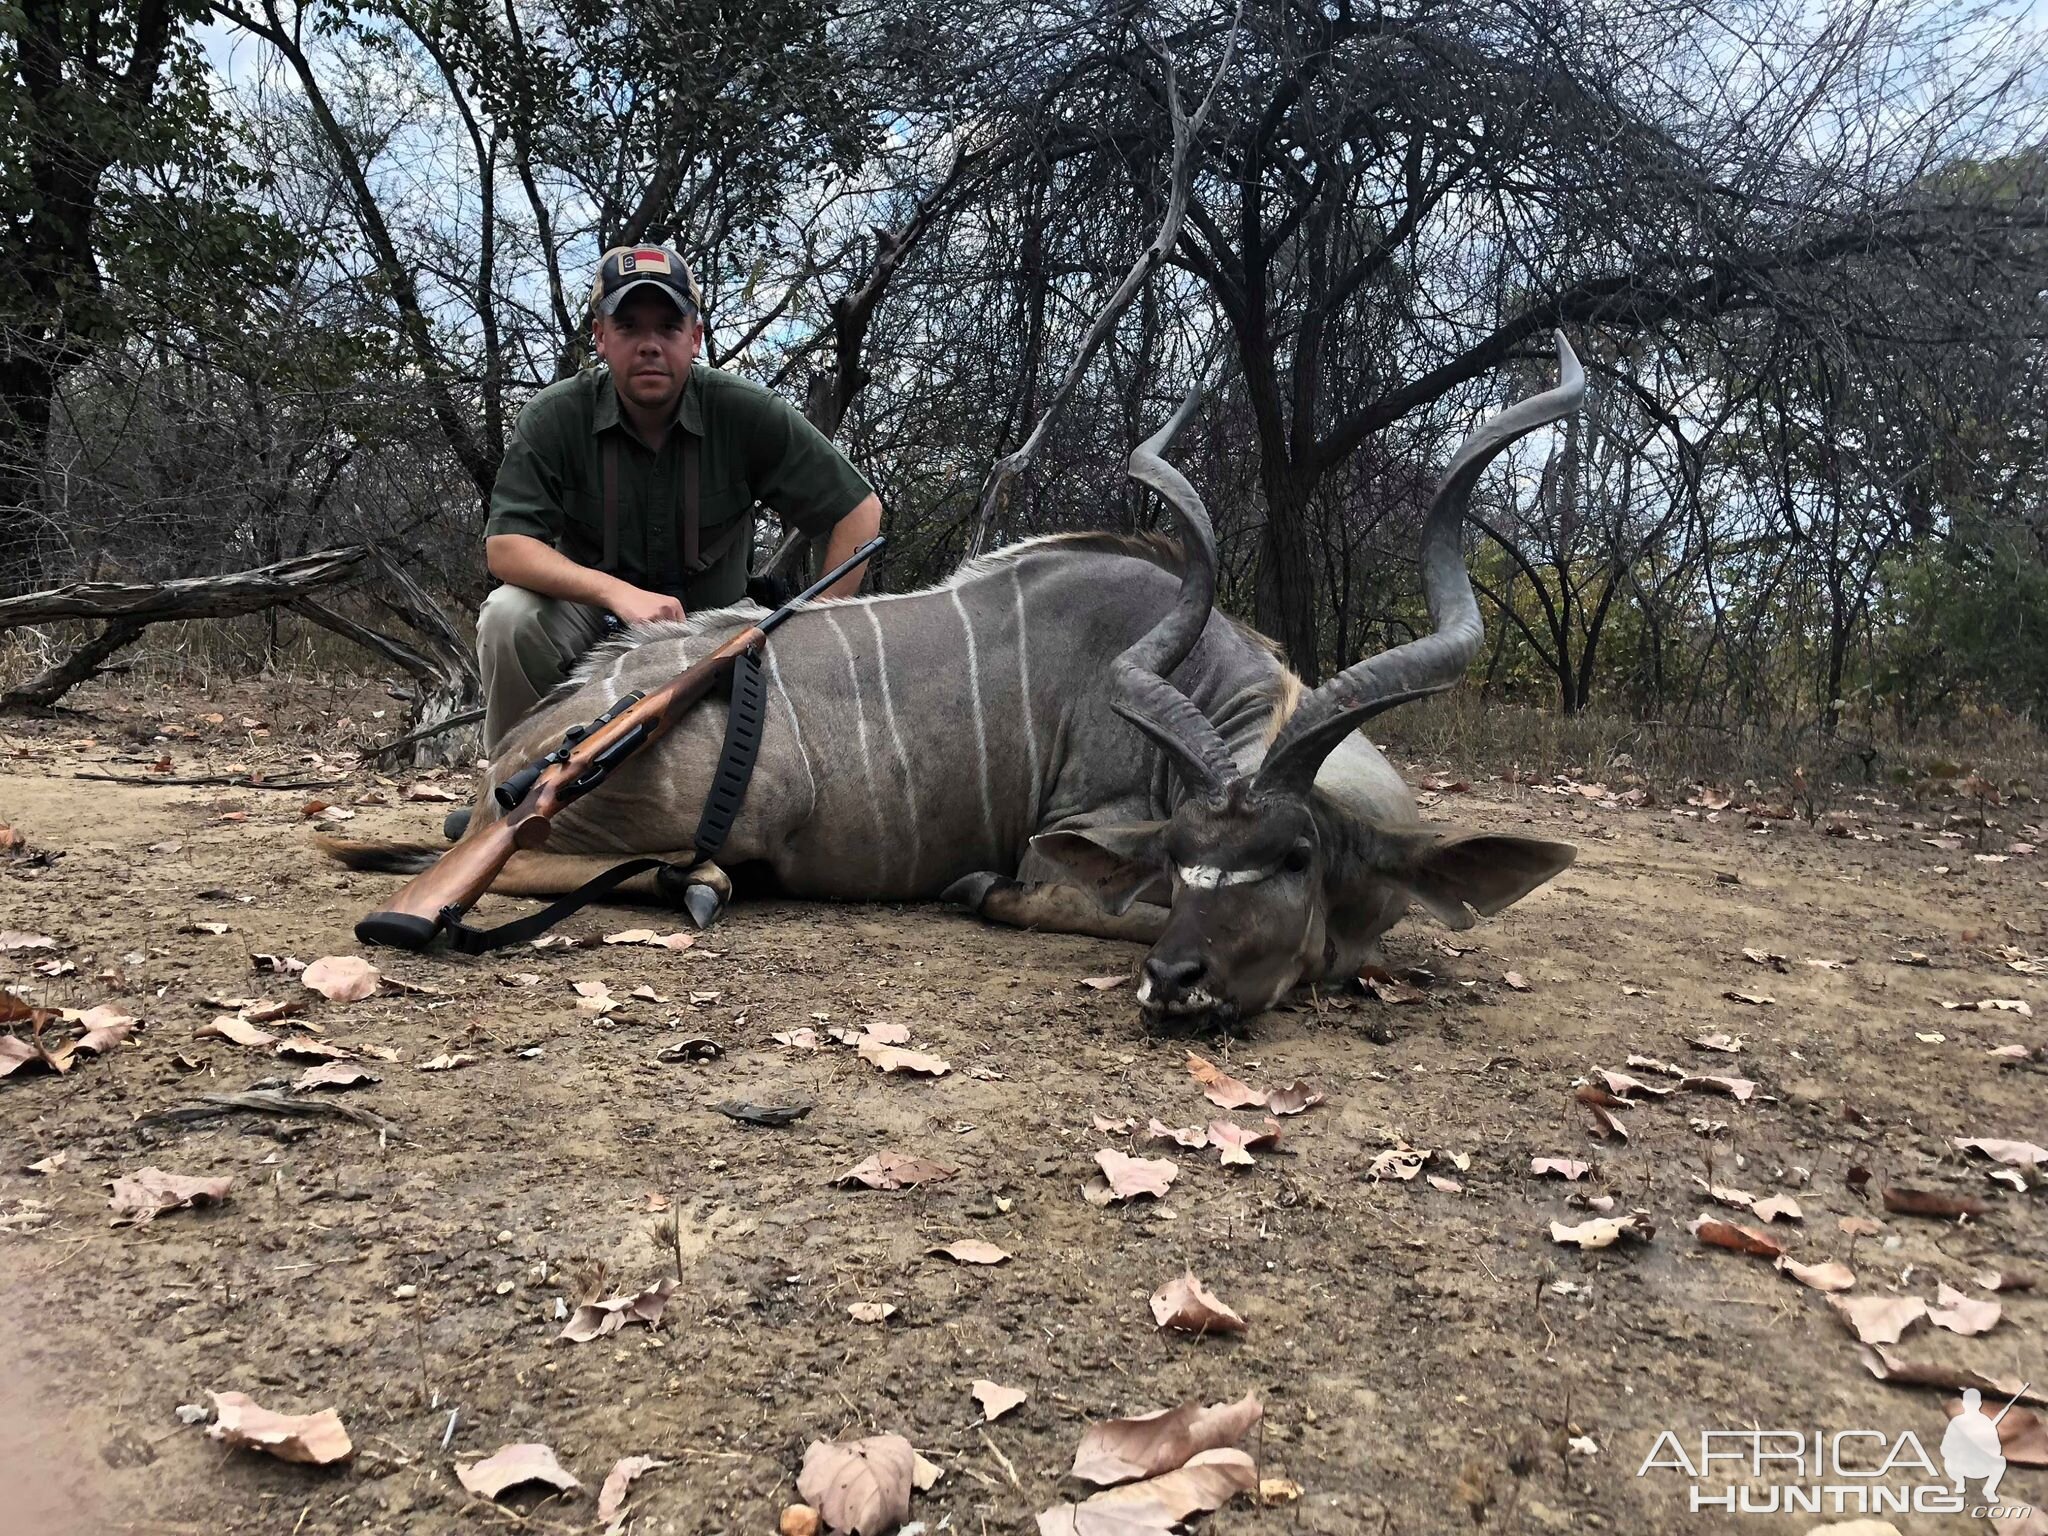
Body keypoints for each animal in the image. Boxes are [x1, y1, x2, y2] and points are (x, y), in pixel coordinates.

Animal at [331, 335, 1581, 1036]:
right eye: (1184, 855)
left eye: (1294, 858)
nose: (1178, 985)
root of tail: (521, 751)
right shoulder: (1070, 854)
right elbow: (1051, 898)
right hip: (704, 808)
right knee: (518, 861)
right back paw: (687, 884)